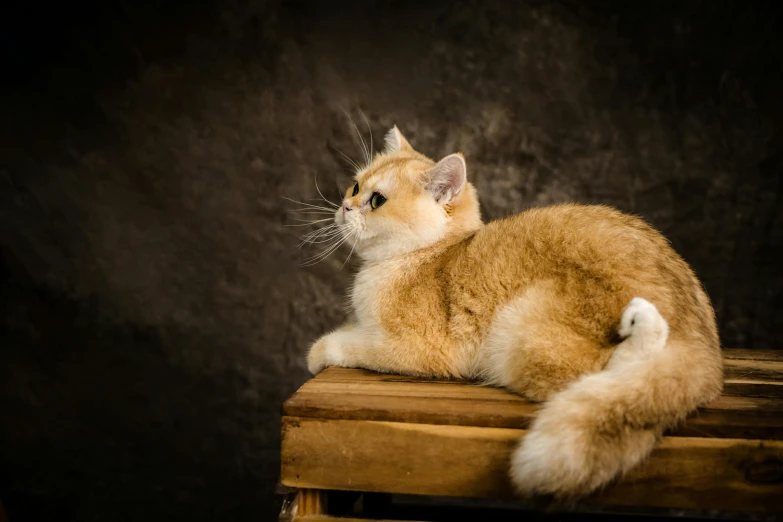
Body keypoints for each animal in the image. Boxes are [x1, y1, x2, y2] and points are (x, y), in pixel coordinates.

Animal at [304, 125, 724, 496]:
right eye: (355, 186)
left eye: (376, 200)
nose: (344, 206)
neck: (426, 255)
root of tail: (705, 347)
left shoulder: (416, 349)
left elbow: (348, 343)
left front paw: (319, 351)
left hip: (521, 337)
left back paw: (646, 332)